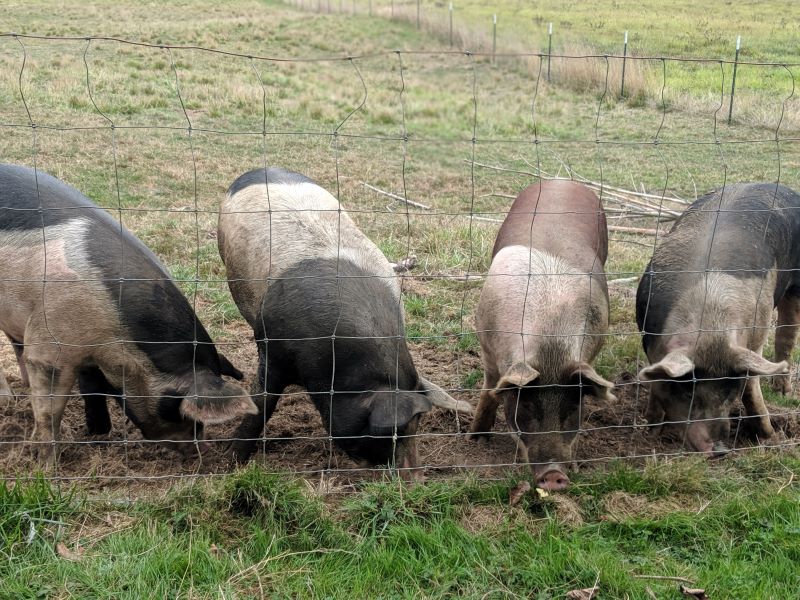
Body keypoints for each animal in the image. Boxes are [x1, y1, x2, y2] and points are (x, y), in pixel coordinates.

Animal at [0, 163, 256, 464]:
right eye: (173, 406)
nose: (201, 450)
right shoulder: (51, 343)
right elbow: (50, 407)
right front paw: (47, 464)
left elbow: (93, 389)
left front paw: (98, 433)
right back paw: (7, 401)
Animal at [216, 166, 472, 476]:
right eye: (390, 434)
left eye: (418, 425)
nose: (416, 478)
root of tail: (261, 169)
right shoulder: (274, 348)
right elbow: (262, 403)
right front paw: (229, 462)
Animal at [466, 180, 616, 490]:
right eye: (527, 406)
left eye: (572, 409)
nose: (554, 474)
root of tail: (561, 180)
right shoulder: (486, 344)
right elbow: (489, 391)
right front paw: (476, 439)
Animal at [636, 183, 800, 454]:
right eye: (687, 391)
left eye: (729, 390)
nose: (719, 449)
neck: (710, 327)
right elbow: (655, 382)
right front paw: (650, 430)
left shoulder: (755, 335)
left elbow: (751, 389)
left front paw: (771, 438)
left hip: (796, 283)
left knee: (787, 333)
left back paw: (784, 393)